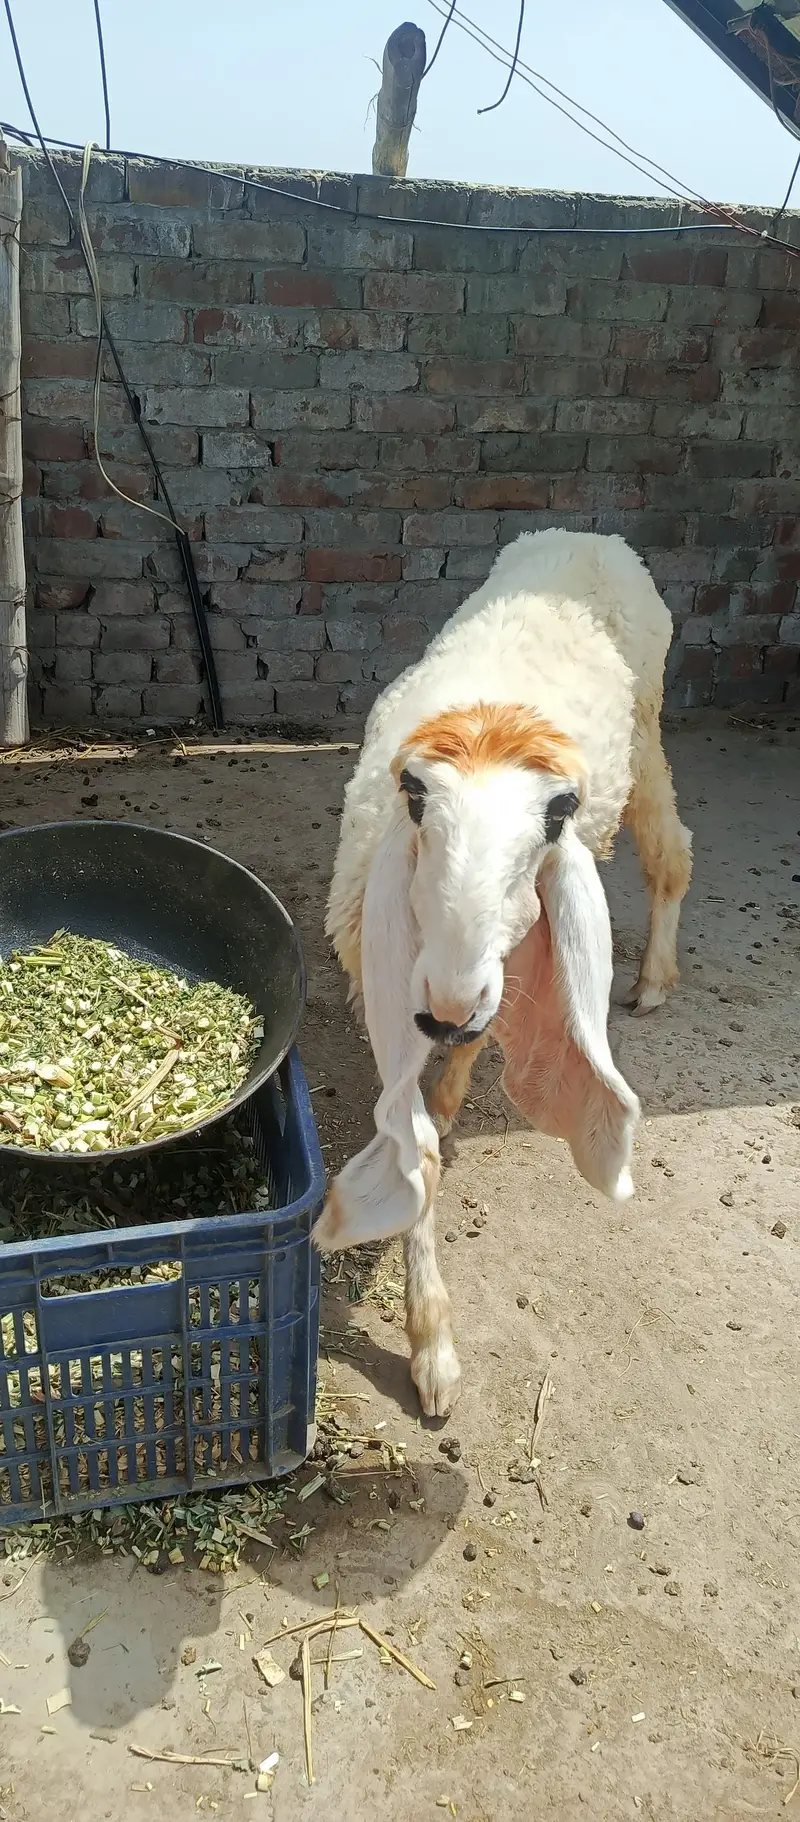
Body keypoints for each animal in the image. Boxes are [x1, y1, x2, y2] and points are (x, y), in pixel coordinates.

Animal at [315, 529, 693, 1417]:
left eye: (558, 814)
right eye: (415, 797)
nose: (446, 1009)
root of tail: (589, 532)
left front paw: (431, 1347)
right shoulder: (393, 995)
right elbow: (415, 1148)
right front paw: (431, 1341)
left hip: (648, 728)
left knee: (671, 851)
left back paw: (654, 977)